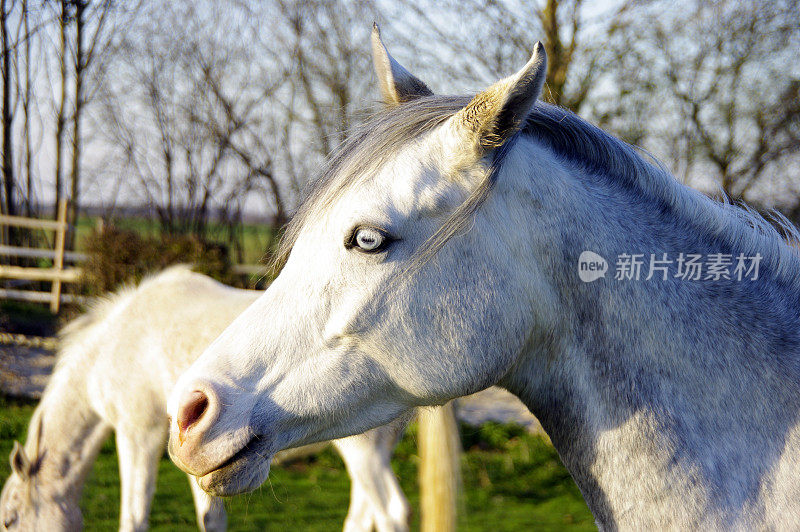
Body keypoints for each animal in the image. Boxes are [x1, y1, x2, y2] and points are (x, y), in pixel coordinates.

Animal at [0, 268, 410, 528]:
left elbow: (134, 516)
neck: (112, 345)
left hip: (363, 451)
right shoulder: (196, 454)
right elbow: (210, 517)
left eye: (10, 519)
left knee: (391, 513)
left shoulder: (139, 434)